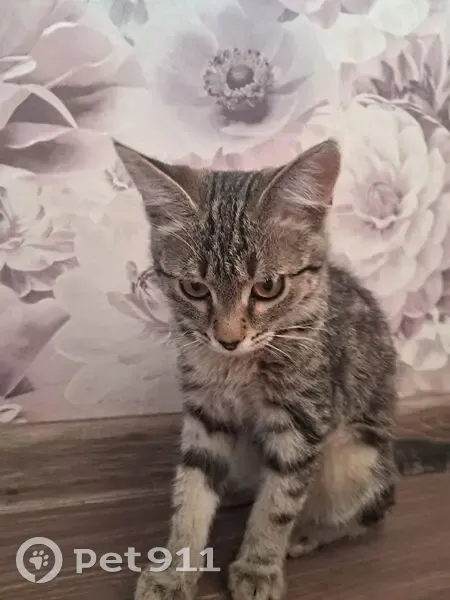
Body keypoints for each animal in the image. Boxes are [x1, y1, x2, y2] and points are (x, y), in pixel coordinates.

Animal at [114, 139, 450, 600]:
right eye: (194, 288)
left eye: (268, 288)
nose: (228, 338)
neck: (238, 365)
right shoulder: (206, 412)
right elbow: (192, 490)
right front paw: (175, 569)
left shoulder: (301, 420)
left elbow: (278, 503)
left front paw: (258, 566)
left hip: (354, 455)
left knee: (372, 511)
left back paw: (310, 532)